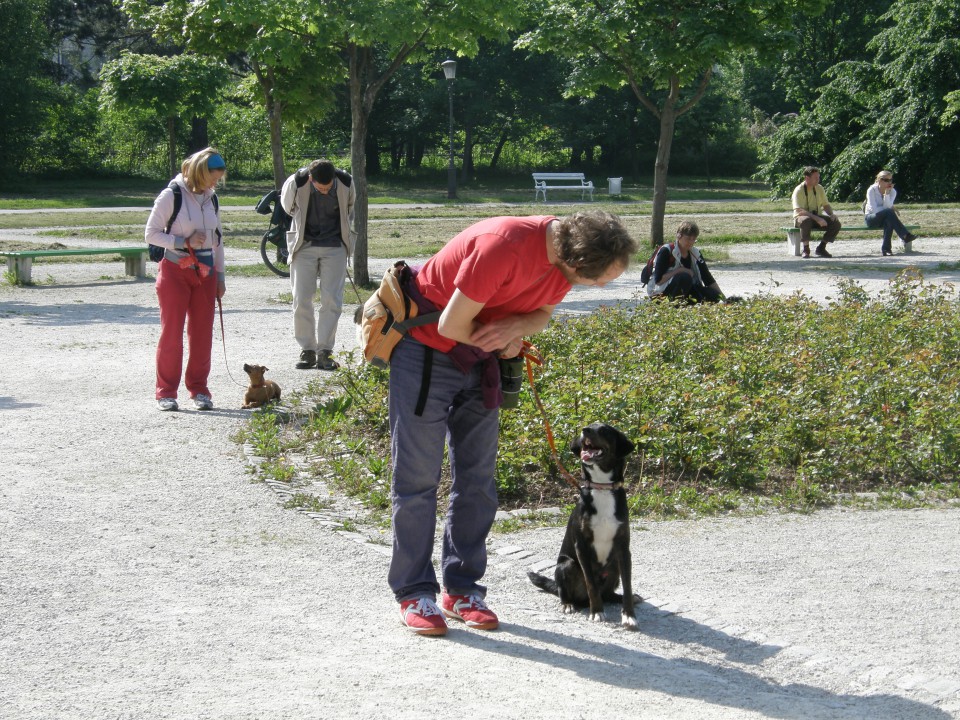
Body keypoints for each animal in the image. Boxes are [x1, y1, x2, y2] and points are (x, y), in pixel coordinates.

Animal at [528, 424, 640, 628]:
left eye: (604, 430)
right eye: (589, 427)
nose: (585, 430)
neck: (602, 488)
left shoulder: (623, 548)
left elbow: (628, 585)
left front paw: (629, 615)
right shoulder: (582, 547)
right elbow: (591, 585)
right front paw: (596, 612)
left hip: (614, 565)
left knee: (608, 594)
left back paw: (619, 598)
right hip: (567, 565)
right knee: (566, 591)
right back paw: (568, 604)